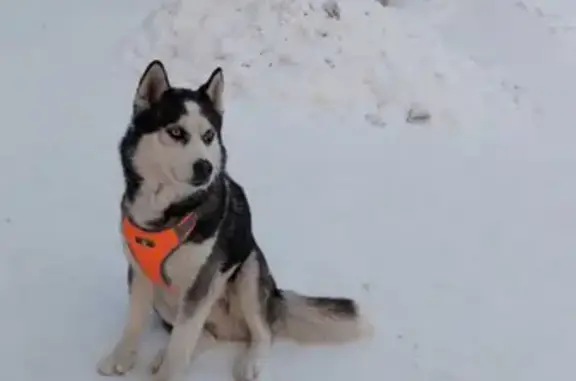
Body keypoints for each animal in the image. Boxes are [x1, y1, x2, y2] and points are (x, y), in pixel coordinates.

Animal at [97, 59, 372, 380]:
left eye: (208, 136)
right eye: (176, 132)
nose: (205, 167)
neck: (167, 212)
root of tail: (275, 297)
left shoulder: (201, 283)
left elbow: (181, 342)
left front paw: (168, 375)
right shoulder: (140, 274)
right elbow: (135, 323)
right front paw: (121, 357)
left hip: (249, 272)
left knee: (261, 332)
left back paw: (250, 362)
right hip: (166, 297)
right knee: (205, 335)